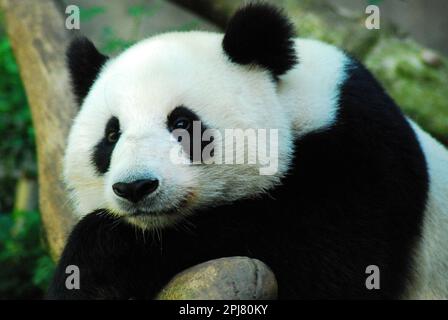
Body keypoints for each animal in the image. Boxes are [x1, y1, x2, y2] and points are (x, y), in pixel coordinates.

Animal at [47, 3, 448, 300]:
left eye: (182, 123)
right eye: (112, 134)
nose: (135, 187)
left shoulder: (361, 157)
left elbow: (326, 265)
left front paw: (100, 259)